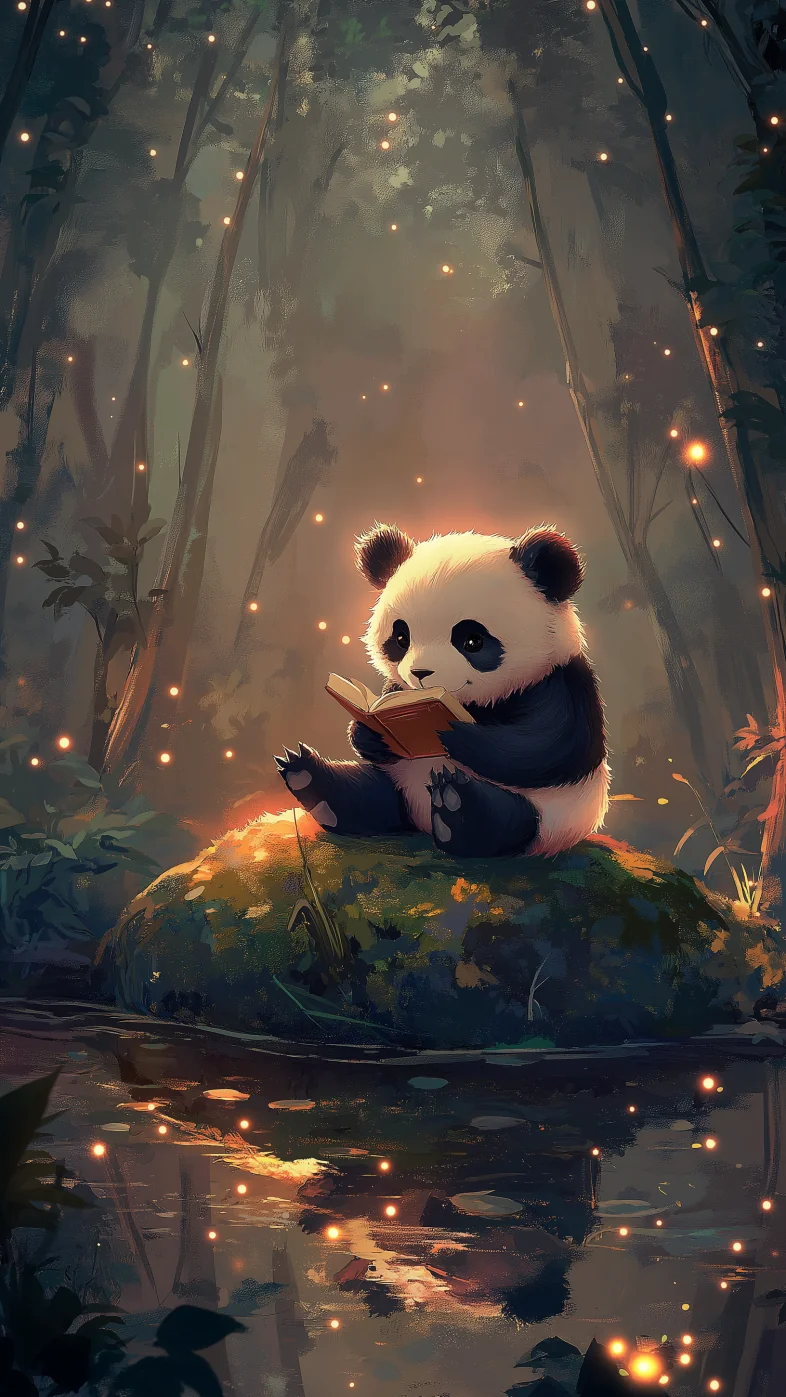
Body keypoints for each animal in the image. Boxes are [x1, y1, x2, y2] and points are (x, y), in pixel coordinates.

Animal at [275, 523, 610, 858]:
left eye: (473, 641)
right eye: (401, 637)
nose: (420, 674)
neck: (466, 703)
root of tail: (423, 820)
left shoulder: (559, 681)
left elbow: (549, 747)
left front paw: (456, 734)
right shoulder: (400, 690)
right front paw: (369, 733)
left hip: (549, 822)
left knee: (507, 821)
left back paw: (456, 808)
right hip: (398, 781)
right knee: (371, 795)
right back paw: (311, 780)